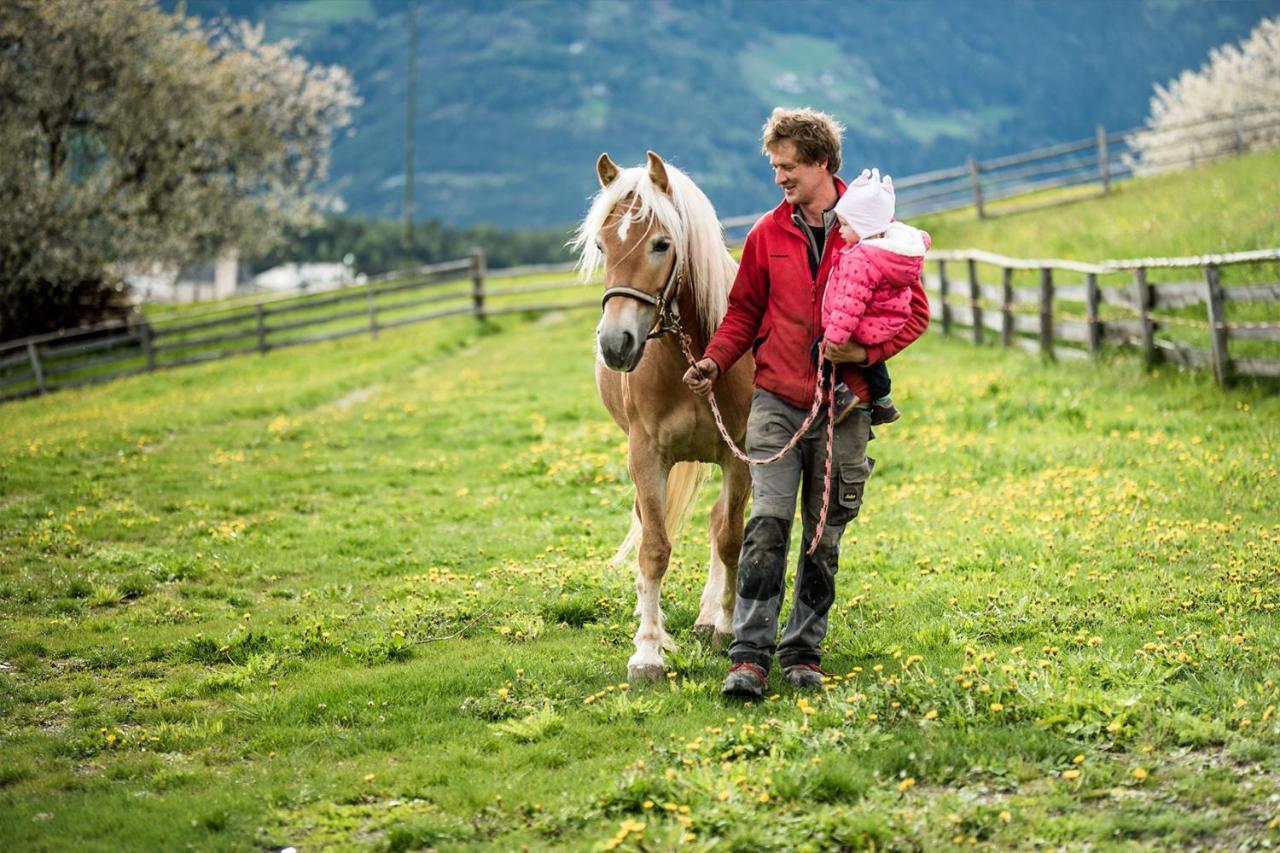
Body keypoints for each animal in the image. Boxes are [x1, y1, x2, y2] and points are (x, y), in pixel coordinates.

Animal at [573, 149, 757, 681]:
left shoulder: (739, 456)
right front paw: (648, 649)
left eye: (661, 244)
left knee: (719, 523)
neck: (688, 356)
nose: (616, 344)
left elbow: (730, 538)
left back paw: (710, 615)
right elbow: (653, 548)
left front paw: (726, 626)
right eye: (601, 244)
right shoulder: (646, 456)